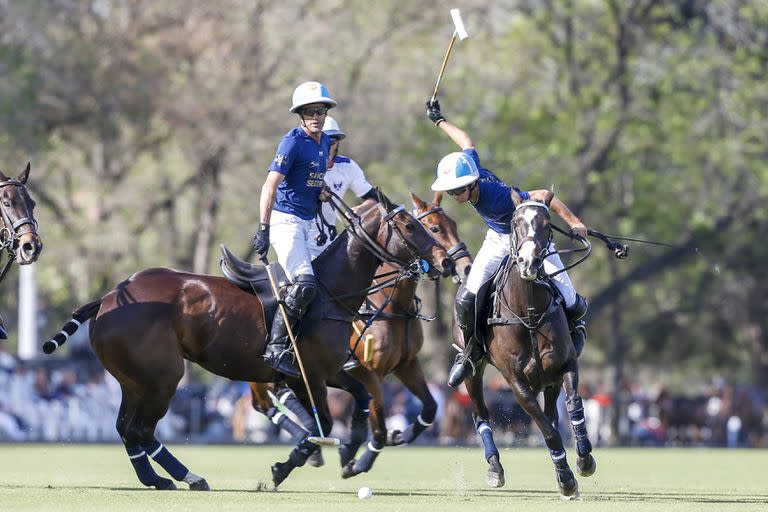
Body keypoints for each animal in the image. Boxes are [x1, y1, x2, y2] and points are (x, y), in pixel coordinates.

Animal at [42, 190, 450, 490]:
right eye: (412, 224)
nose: (446, 261)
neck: (332, 292)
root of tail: (108, 297)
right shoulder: (307, 376)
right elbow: (322, 424)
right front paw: (286, 467)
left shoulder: (334, 371)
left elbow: (361, 401)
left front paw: (349, 451)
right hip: (163, 377)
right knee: (139, 429)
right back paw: (183, 477)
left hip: (135, 381)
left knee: (128, 429)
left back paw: (165, 478)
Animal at [460, 190, 596, 498]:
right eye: (515, 223)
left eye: (547, 225)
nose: (529, 263)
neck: (529, 312)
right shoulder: (516, 383)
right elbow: (547, 431)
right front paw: (567, 480)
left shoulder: (565, 366)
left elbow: (574, 407)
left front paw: (584, 461)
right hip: (474, 372)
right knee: (480, 414)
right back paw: (495, 469)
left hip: (547, 380)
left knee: (553, 413)